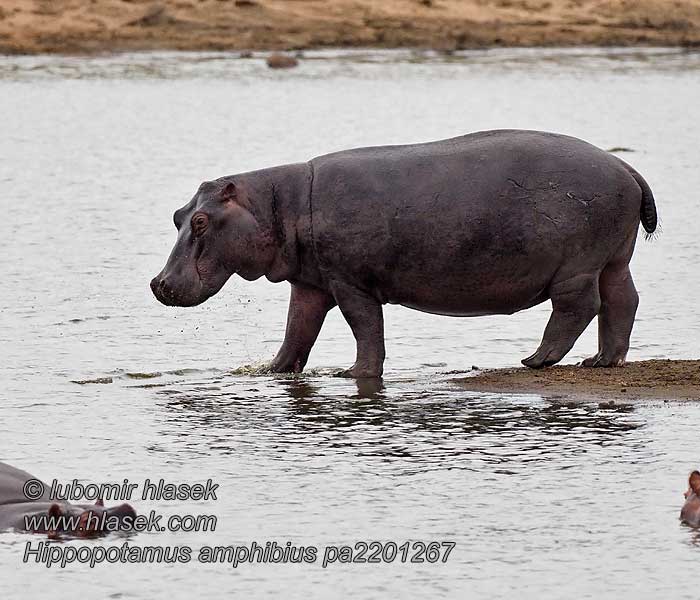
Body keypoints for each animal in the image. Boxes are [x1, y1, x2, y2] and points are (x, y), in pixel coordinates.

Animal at [152, 129, 656, 378]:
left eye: (201, 221)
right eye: (176, 215)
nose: (158, 284)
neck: (277, 204)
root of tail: (627, 167)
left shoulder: (349, 282)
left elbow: (364, 327)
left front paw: (353, 374)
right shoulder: (312, 284)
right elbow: (297, 330)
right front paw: (273, 372)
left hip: (578, 264)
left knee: (578, 306)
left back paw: (535, 360)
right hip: (616, 258)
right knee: (623, 301)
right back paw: (602, 361)